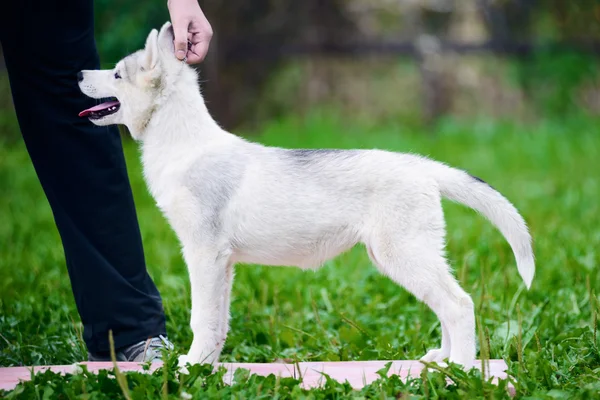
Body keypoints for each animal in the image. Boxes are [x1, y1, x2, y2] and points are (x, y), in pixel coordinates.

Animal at [78, 22, 536, 368]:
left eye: (116, 74)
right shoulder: (223, 262)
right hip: (405, 256)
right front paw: (206, 367)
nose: (79, 74)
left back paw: (460, 369)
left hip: (404, 254)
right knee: (445, 304)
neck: (184, 144)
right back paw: (439, 361)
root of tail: (421, 166)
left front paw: (189, 367)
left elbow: (201, 319)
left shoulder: (203, 253)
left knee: (459, 304)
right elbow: (219, 322)